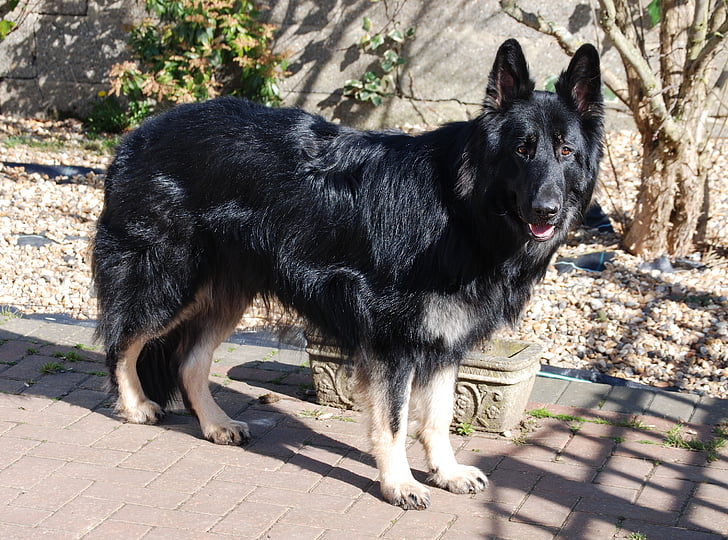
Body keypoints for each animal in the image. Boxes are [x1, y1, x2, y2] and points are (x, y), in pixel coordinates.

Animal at [92, 39, 604, 510]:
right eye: (522, 150)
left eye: (565, 152)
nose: (547, 210)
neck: (461, 207)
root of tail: (137, 137)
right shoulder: (393, 341)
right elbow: (393, 421)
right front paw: (399, 483)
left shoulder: (444, 339)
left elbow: (437, 416)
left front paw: (447, 472)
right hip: (168, 282)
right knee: (123, 341)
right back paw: (135, 407)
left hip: (223, 294)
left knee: (188, 361)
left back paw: (216, 424)